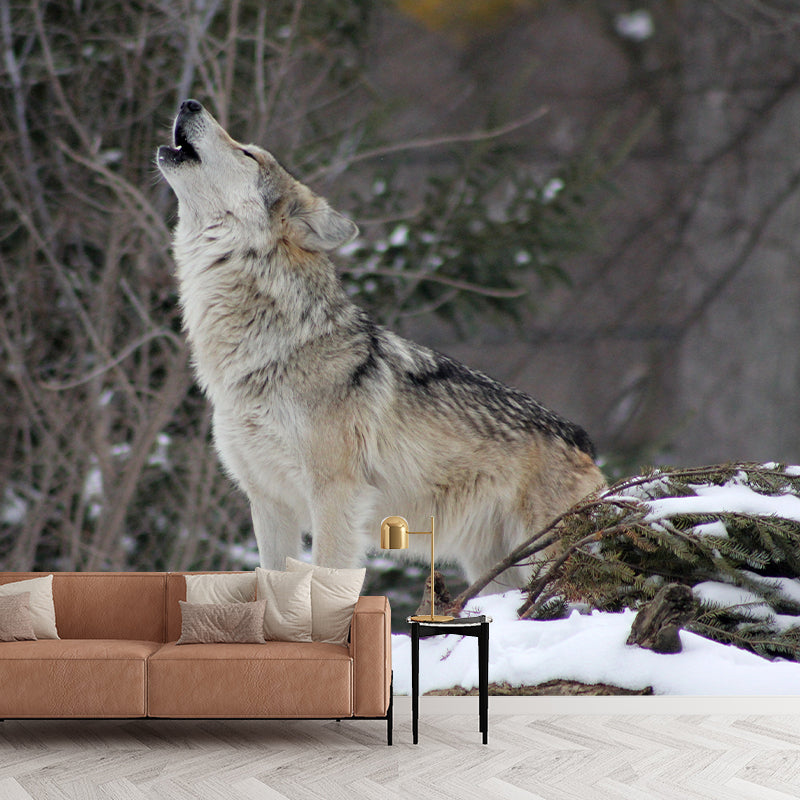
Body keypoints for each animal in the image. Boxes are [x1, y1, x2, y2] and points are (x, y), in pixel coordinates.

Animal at [157, 99, 605, 590]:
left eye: (247, 153)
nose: (189, 103)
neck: (268, 349)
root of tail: (584, 441)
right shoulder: (269, 502)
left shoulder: (336, 494)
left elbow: (327, 574)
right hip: (493, 567)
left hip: (543, 558)